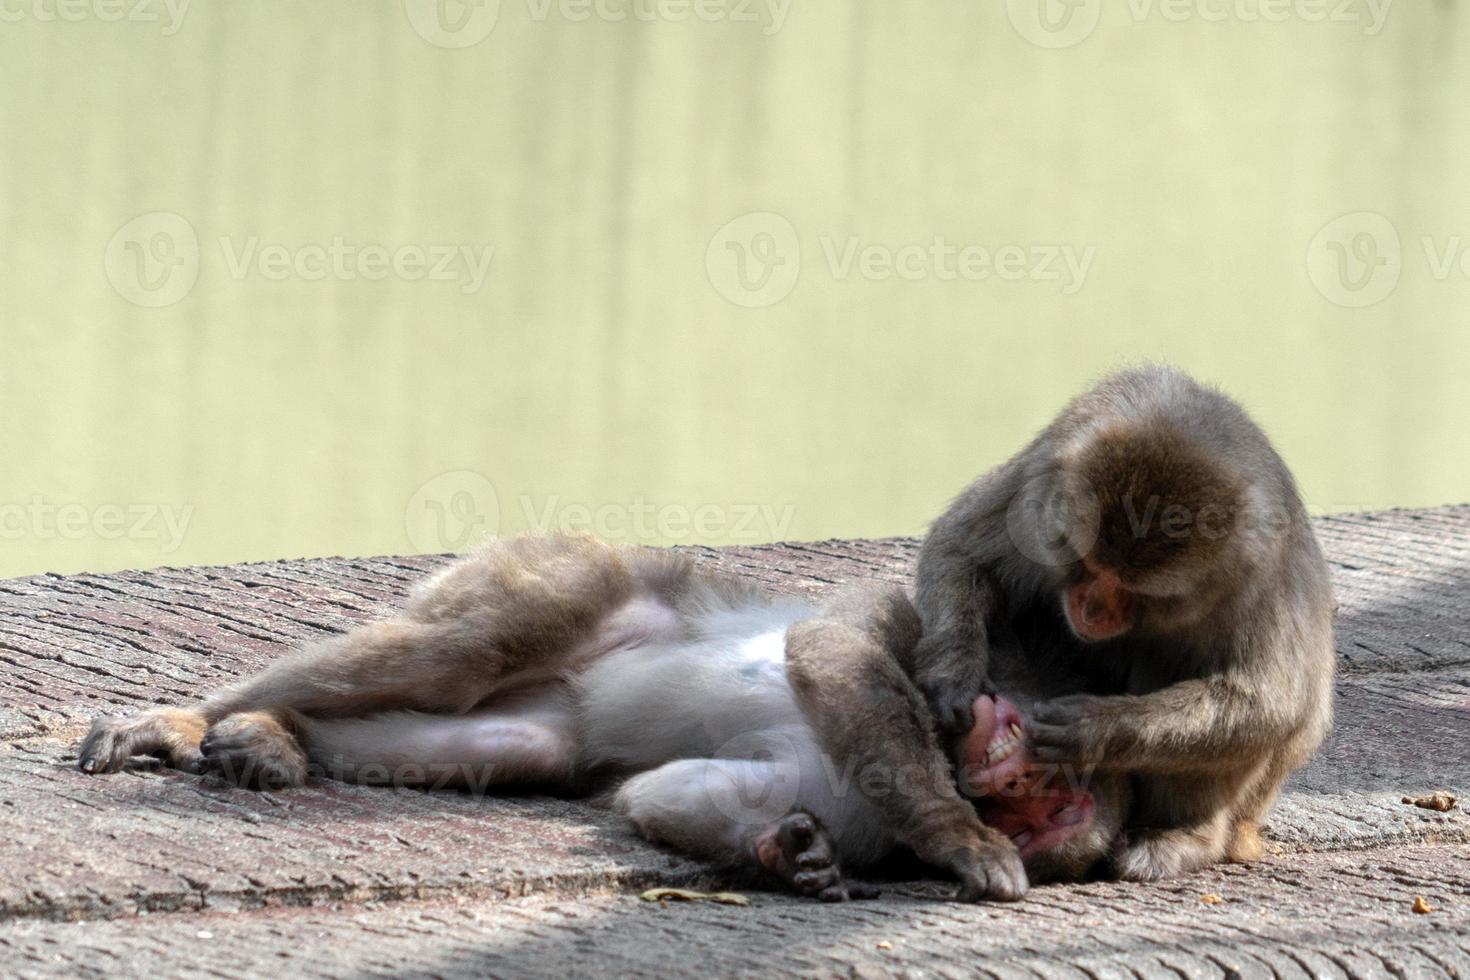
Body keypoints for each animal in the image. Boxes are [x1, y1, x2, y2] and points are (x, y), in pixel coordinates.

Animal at [83, 537, 1123, 905]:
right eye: (1031, 778)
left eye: (1051, 803)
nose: (1006, 780)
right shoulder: (928, 655)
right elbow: (837, 650)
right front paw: (958, 837)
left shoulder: (863, 814)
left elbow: (668, 795)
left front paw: (791, 858)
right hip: (572, 570)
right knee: (459, 650)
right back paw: (194, 719)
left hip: (555, 700)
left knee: (517, 741)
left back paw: (275, 733)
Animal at [911, 362, 1340, 881]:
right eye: (1087, 564)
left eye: (1131, 590)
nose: (1091, 610)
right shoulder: (1041, 483)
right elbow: (962, 549)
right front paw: (954, 675)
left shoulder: (1262, 572)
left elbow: (1269, 703)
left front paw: (1095, 730)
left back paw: (1187, 835)